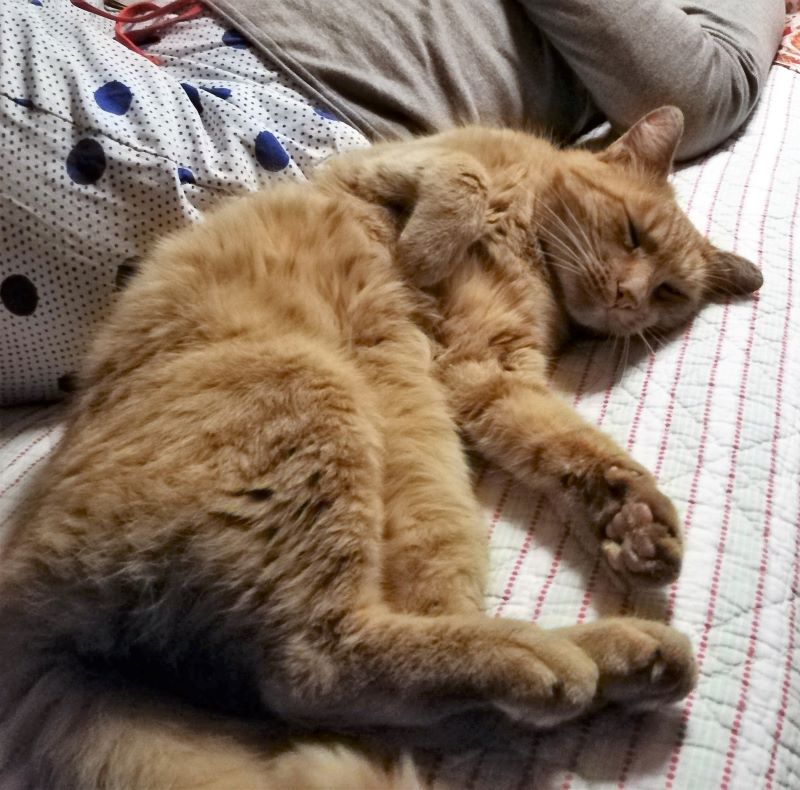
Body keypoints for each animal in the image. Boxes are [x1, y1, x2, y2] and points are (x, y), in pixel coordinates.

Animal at [0, 106, 761, 789]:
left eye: (668, 292)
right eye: (632, 235)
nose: (631, 301)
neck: (534, 244)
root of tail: (21, 600)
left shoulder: (490, 376)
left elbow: (577, 448)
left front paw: (637, 521)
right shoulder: (393, 167)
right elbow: (462, 180)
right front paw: (426, 249)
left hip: (416, 478)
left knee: (382, 690)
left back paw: (616, 658)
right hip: (314, 394)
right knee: (316, 671)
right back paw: (552, 659)